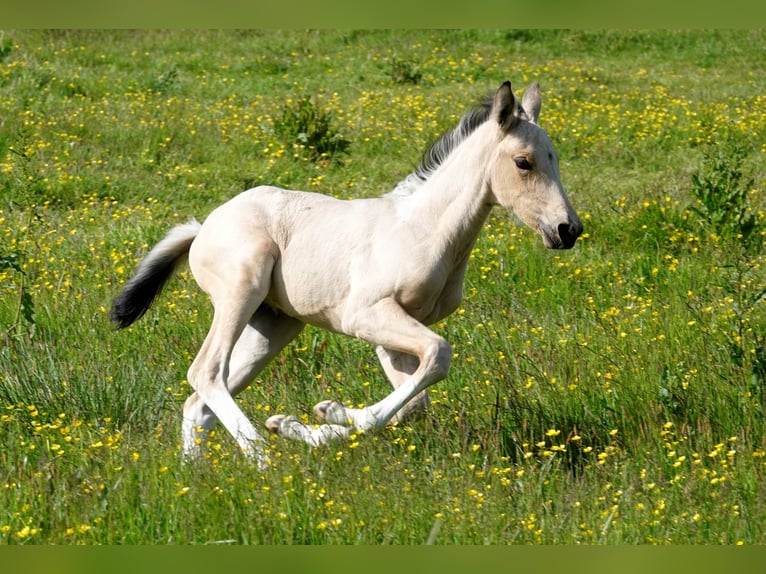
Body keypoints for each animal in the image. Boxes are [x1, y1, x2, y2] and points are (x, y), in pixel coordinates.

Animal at [111, 81, 584, 470]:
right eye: (523, 162)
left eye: (555, 159)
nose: (568, 230)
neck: (425, 230)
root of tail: (203, 226)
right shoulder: (366, 315)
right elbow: (438, 356)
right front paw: (326, 415)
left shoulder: (392, 333)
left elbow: (415, 401)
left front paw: (304, 425)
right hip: (240, 292)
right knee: (206, 372)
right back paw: (264, 461)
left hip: (274, 322)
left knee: (199, 401)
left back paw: (195, 477)